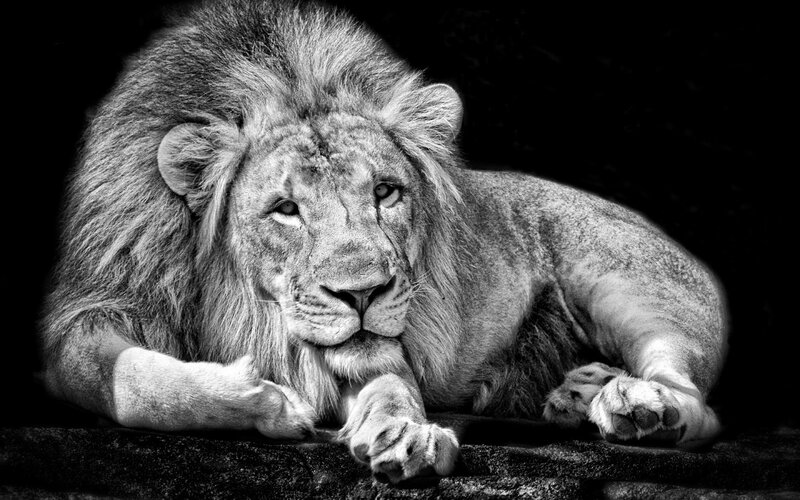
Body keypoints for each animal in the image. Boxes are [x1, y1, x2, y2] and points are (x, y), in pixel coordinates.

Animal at [40, 0, 727, 483]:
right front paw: (269, 401)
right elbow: (129, 382)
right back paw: (577, 390)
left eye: (387, 193)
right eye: (285, 210)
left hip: (623, 286)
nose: (363, 294)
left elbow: (391, 383)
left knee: (696, 402)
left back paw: (639, 406)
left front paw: (404, 433)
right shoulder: (89, 311)